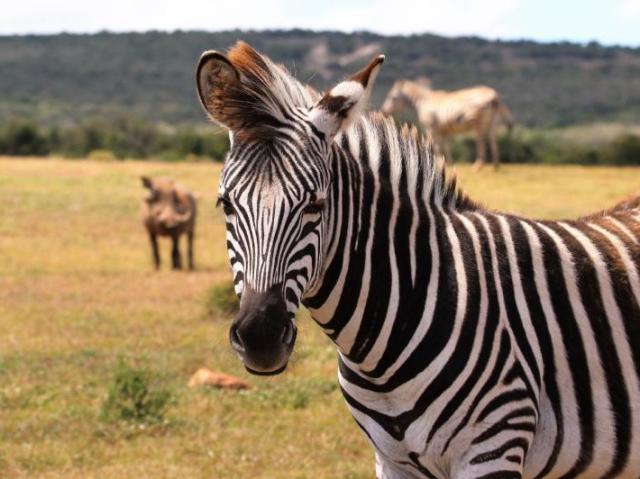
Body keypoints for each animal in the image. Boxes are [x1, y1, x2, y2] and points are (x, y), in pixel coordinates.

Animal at [380, 81, 516, 172]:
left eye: (392, 97)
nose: (383, 112)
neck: (423, 102)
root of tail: (494, 96)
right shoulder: (444, 130)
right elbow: (446, 146)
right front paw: (448, 163)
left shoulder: (431, 128)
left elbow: (436, 146)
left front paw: (437, 163)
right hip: (493, 122)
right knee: (494, 141)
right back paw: (495, 166)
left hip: (478, 123)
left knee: (481, 142)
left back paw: (478, 166)